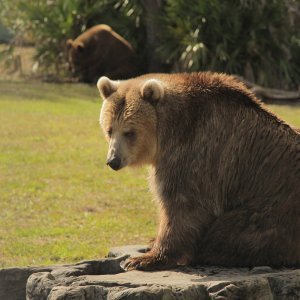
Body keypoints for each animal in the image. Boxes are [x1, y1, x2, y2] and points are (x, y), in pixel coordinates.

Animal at [97, 72, 298, 270]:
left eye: (129, 132)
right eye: (109, 130)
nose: (113, 160)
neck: (170, 130)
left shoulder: (195, 154)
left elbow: (183, 207)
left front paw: (144, 259)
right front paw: (150, 244)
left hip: (274, 207)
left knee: (232, 231)